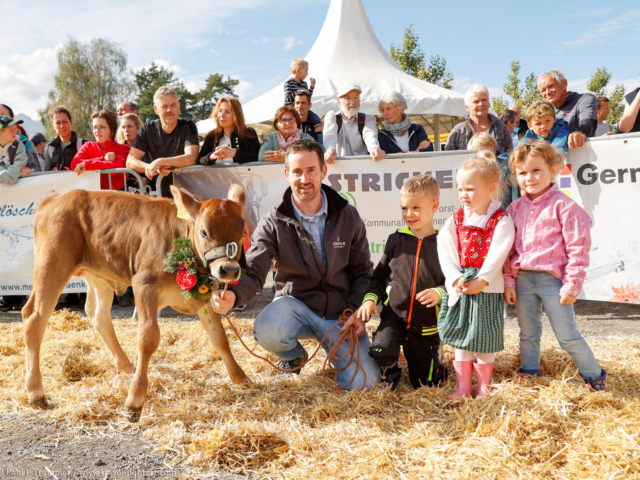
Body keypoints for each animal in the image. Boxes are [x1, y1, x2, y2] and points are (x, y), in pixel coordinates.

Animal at [20, 184, 250, 420]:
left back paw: (126, 366)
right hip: (52, 265)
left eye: (242, 232)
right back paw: (36, 393)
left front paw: (241, 378)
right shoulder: (143, 286)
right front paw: (135, 399)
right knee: (34, 319)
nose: (229, 269)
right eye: (204, 232)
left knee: (97, 315)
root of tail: (57, 196)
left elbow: (220, 338)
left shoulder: (205, 297)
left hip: (98, 275)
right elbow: (148, 339)